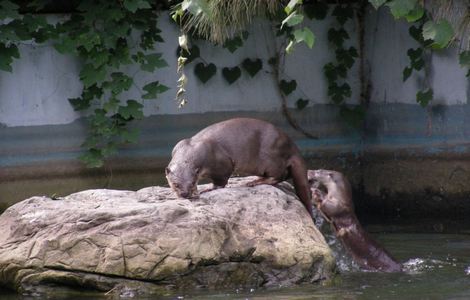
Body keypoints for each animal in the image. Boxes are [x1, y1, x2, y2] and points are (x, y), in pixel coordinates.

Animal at [165, 117, 312, 218]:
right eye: (175, 184)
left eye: (191, 183)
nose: (185, 194)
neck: (193, 148)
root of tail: (291, 145)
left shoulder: (222, 164)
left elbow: (221, 181)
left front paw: (207, 189)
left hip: (271, 158)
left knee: (279, 175)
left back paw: (254, 182)